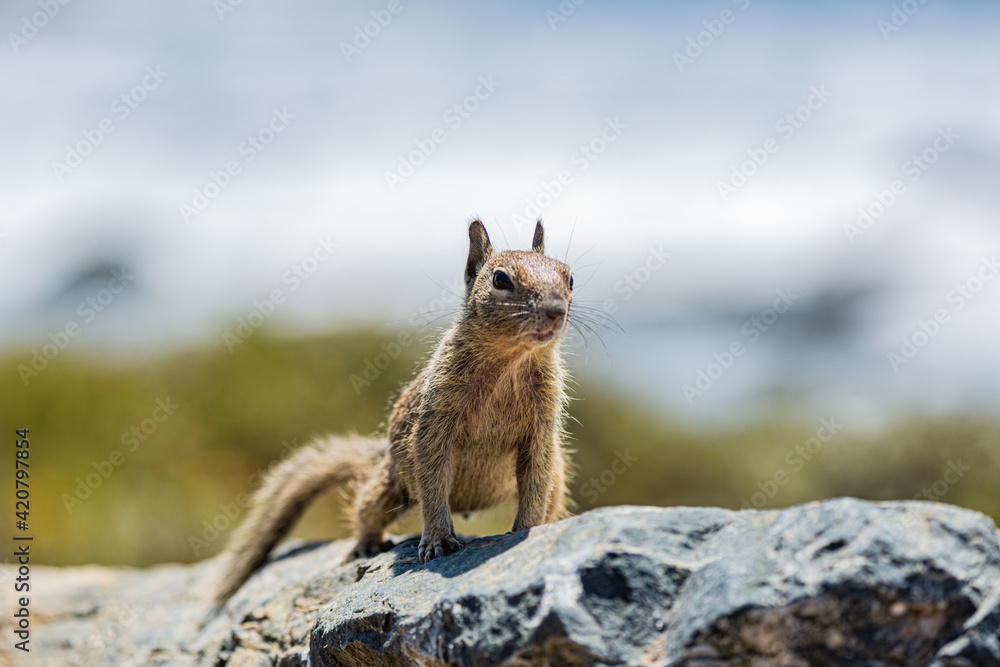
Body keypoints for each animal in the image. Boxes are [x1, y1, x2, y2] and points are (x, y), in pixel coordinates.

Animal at [213, 219, 575, 606]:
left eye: (569, 278)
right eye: (501, 280)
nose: (556, 311)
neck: (510, 360)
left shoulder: (542, 429)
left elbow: (535, 479)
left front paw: (529, 530)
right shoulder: (434, 421)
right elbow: (432, 481)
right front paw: (437, 540)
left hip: (559, 477)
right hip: (389, 485)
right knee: (365, 507)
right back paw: (366, 545)